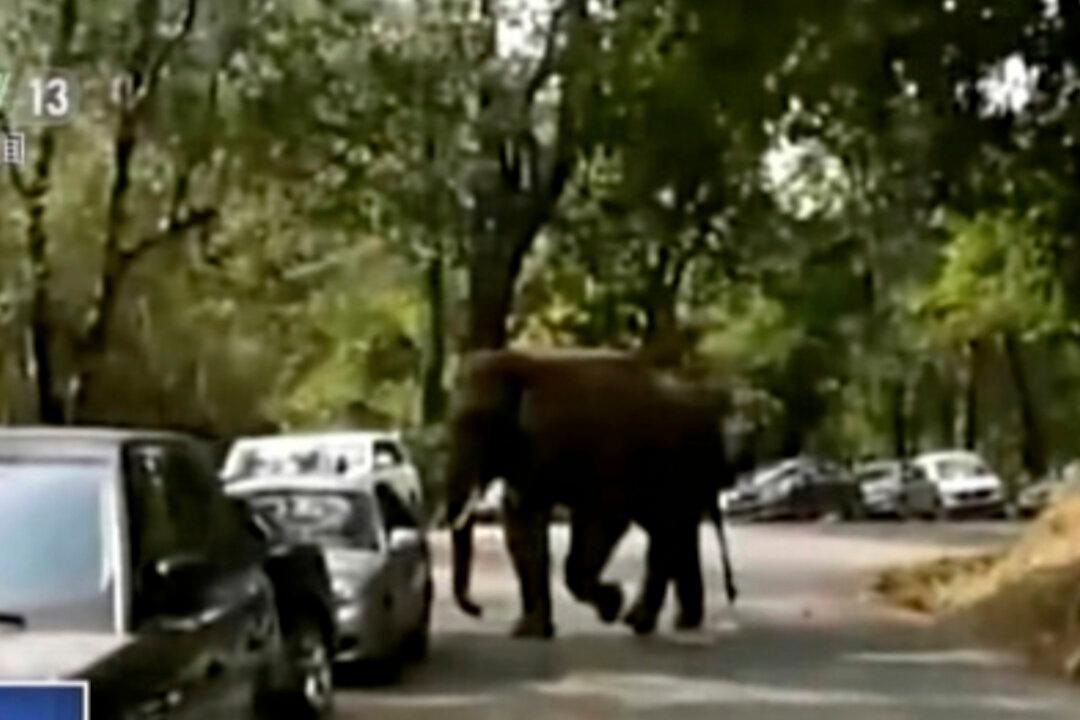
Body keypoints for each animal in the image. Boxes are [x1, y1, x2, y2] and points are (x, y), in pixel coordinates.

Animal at [445, 348, 739, 639]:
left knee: (669, 531)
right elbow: (523, 523)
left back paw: (641, 621)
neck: (525, 364)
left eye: (480, 422)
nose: (478, 610)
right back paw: (677, 621)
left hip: (687, 469)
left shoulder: (603, 455)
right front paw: (530, 631)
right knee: (673, 533)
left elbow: (601, 519)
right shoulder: (530, 457)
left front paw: (612, 604)